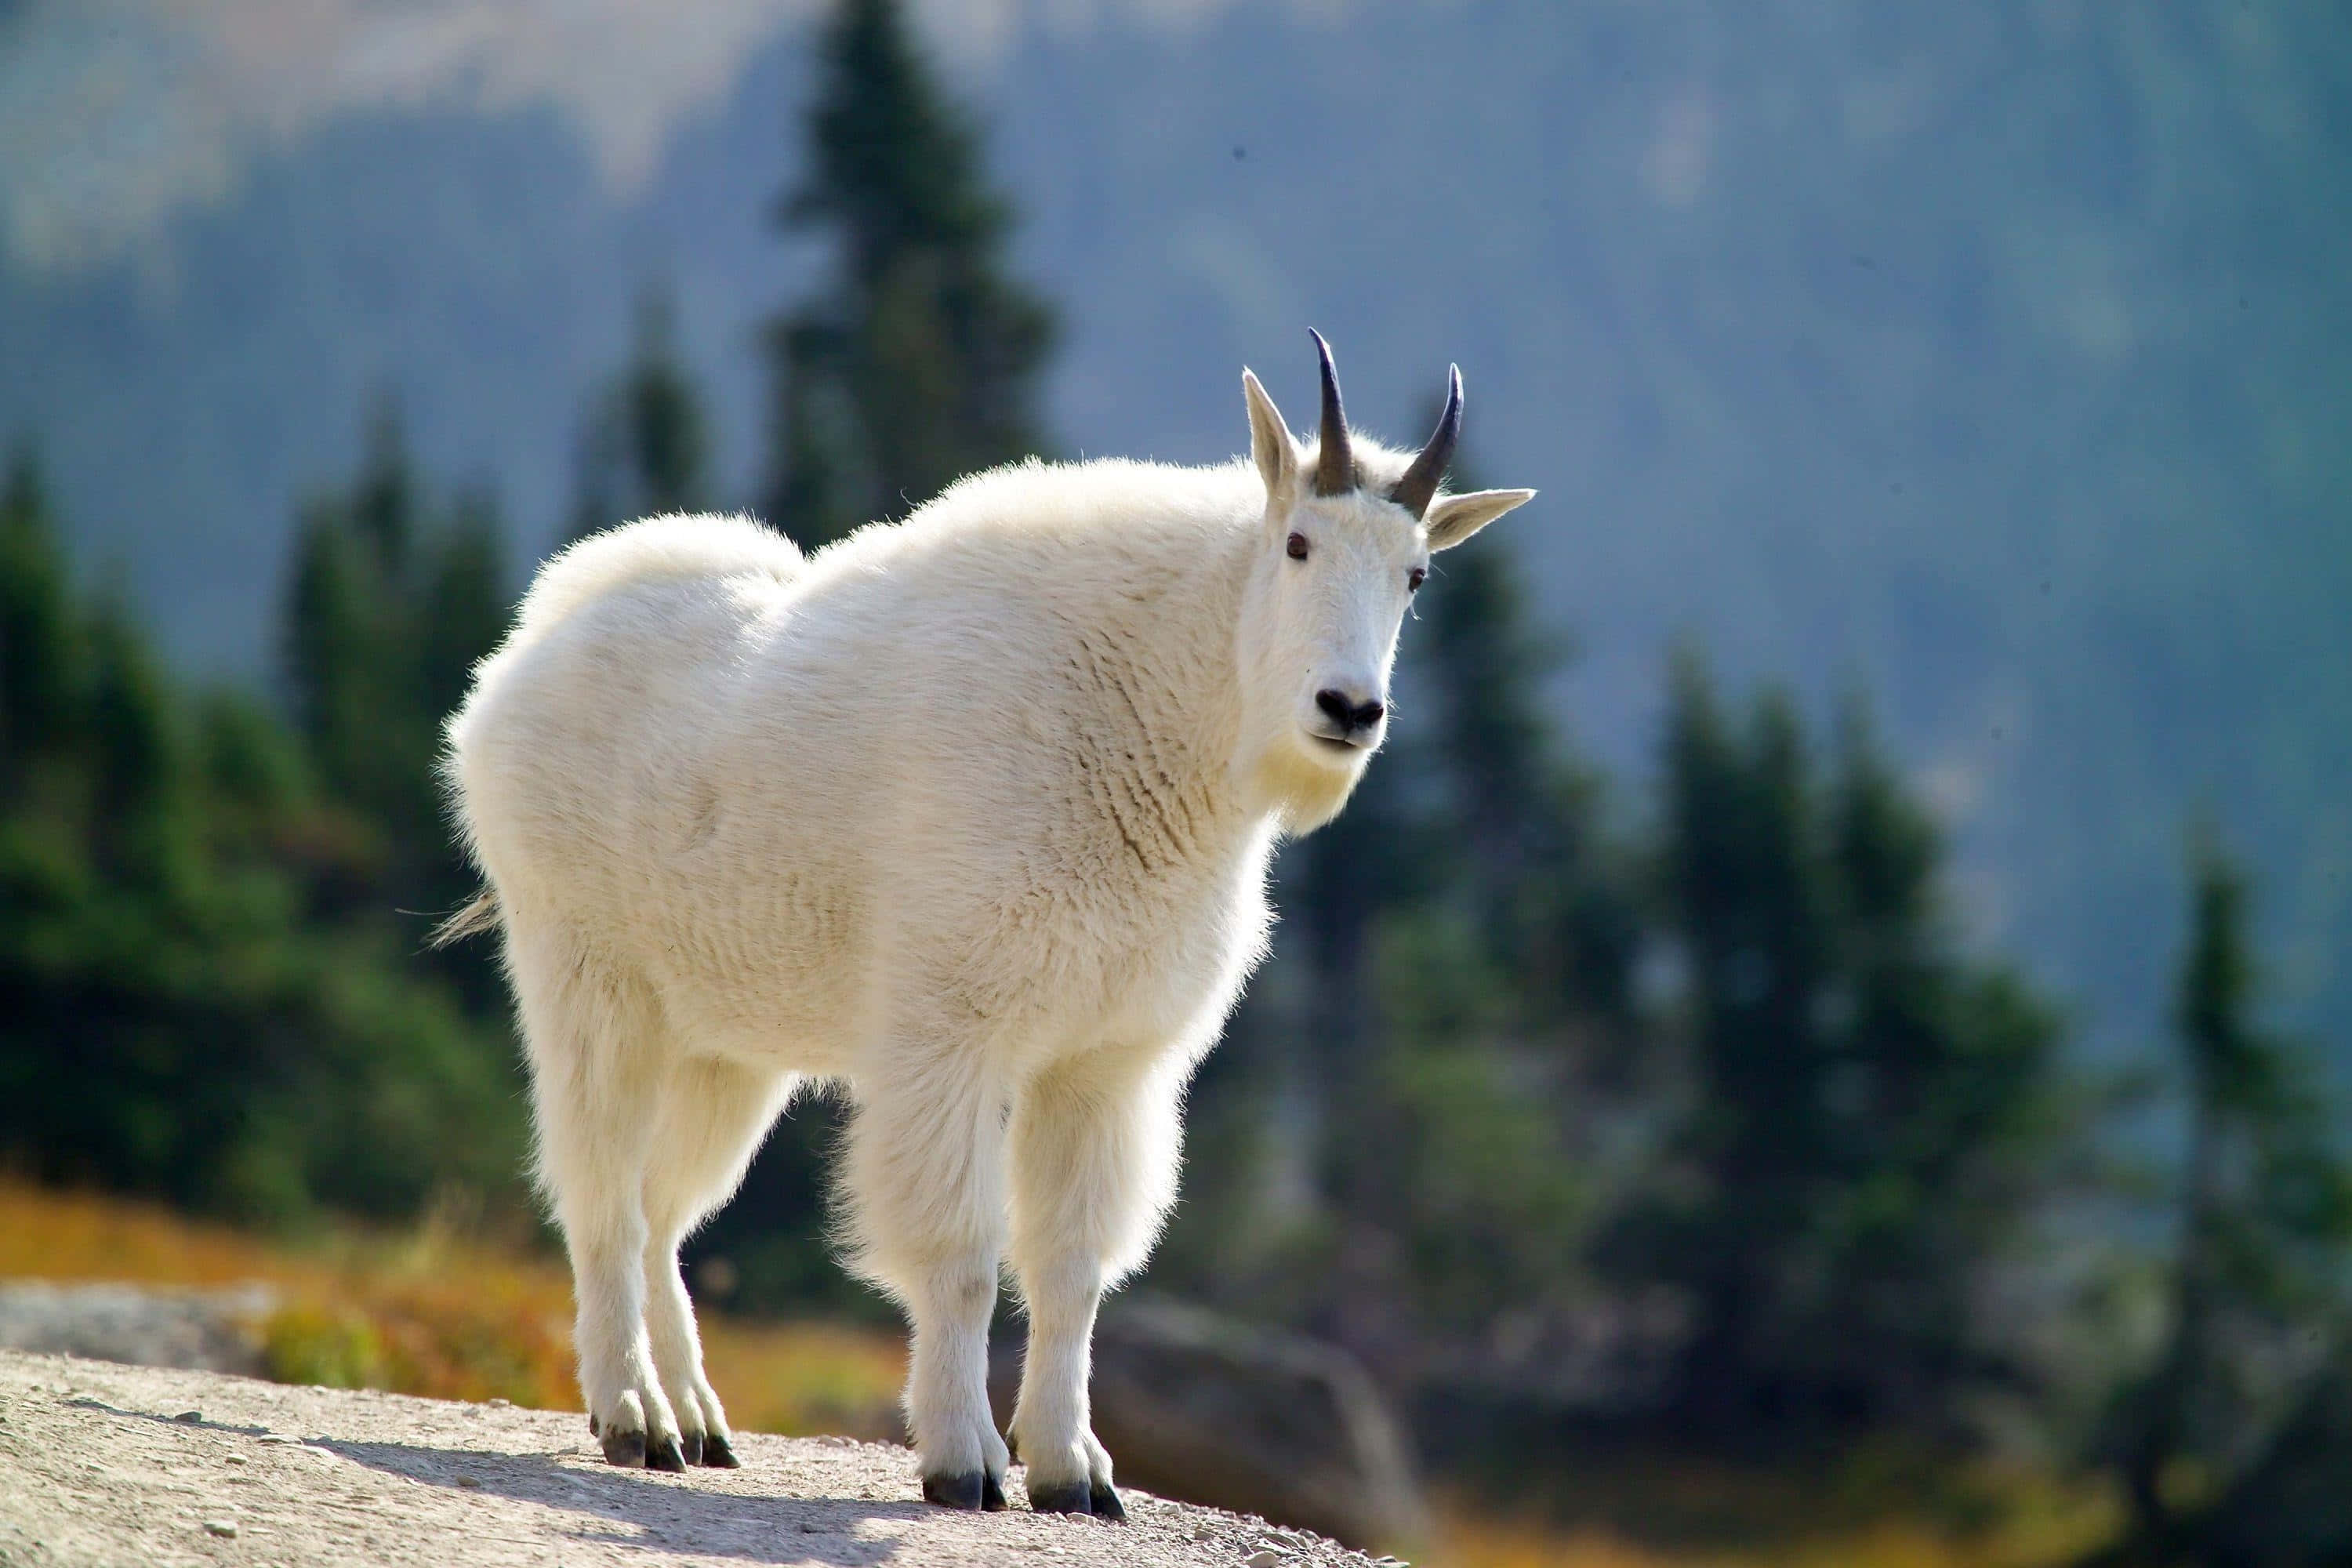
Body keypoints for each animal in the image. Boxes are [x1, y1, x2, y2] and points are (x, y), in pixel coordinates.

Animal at [439, 334, 1534, 1515]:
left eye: (1416, 576)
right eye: (1296, 543)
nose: (1349, 710)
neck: (1163, 709)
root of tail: (520, 655)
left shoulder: (1102, 1062)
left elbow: (1072, 1267)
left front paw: (1073, 1470)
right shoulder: (952, 1033)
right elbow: (963, 1253)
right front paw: (963, 1461)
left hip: (722, 1043)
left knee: (664, 1208)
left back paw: (698, 1421)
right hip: (591, 979)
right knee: (603, 1194)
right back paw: (632, 1415)